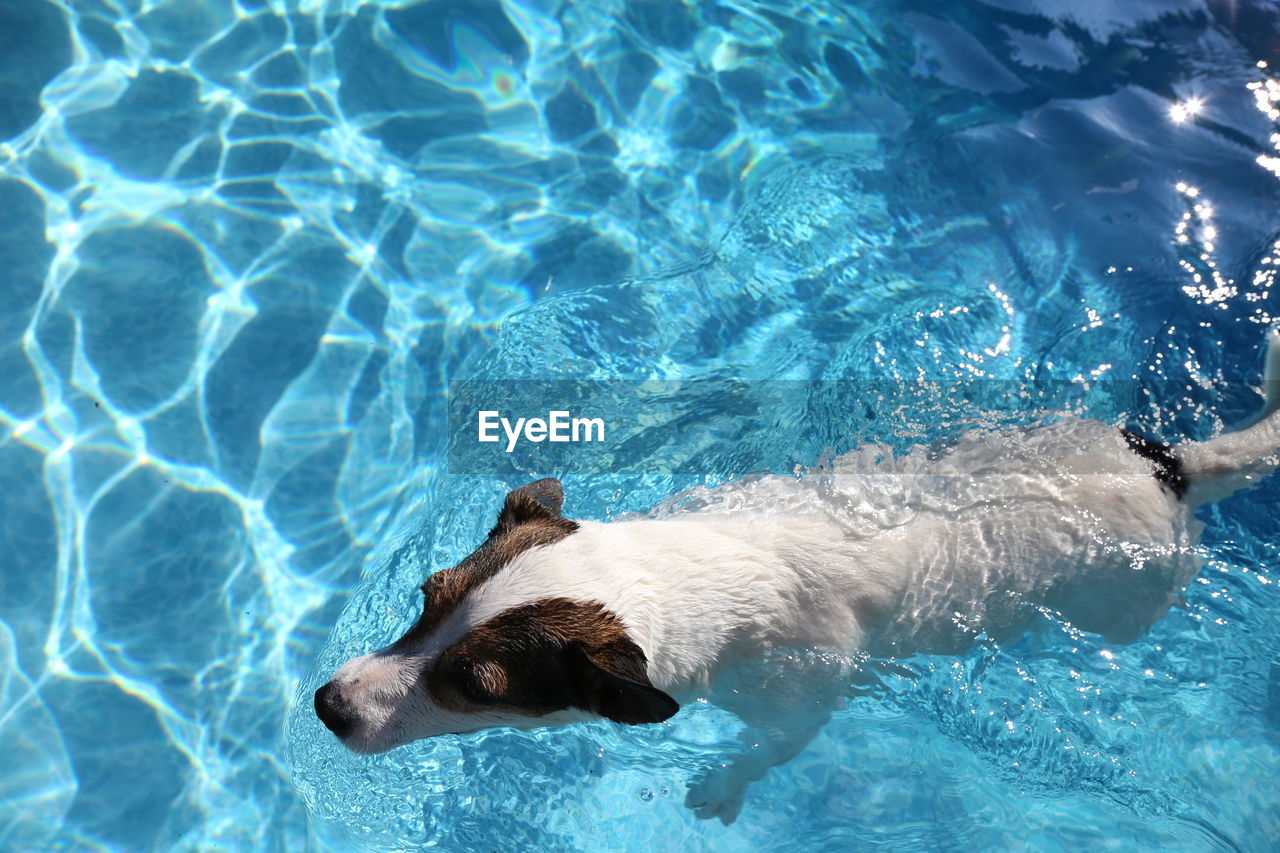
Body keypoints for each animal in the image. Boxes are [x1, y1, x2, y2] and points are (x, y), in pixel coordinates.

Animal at [312, 324, 1280, 819]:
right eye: (427, 594)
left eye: (475, 685)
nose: (326, 706)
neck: (702, 565)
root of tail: (1173, 467)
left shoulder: (804, 693)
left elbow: (773, 747)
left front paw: (725, 784)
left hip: (1133, 599)